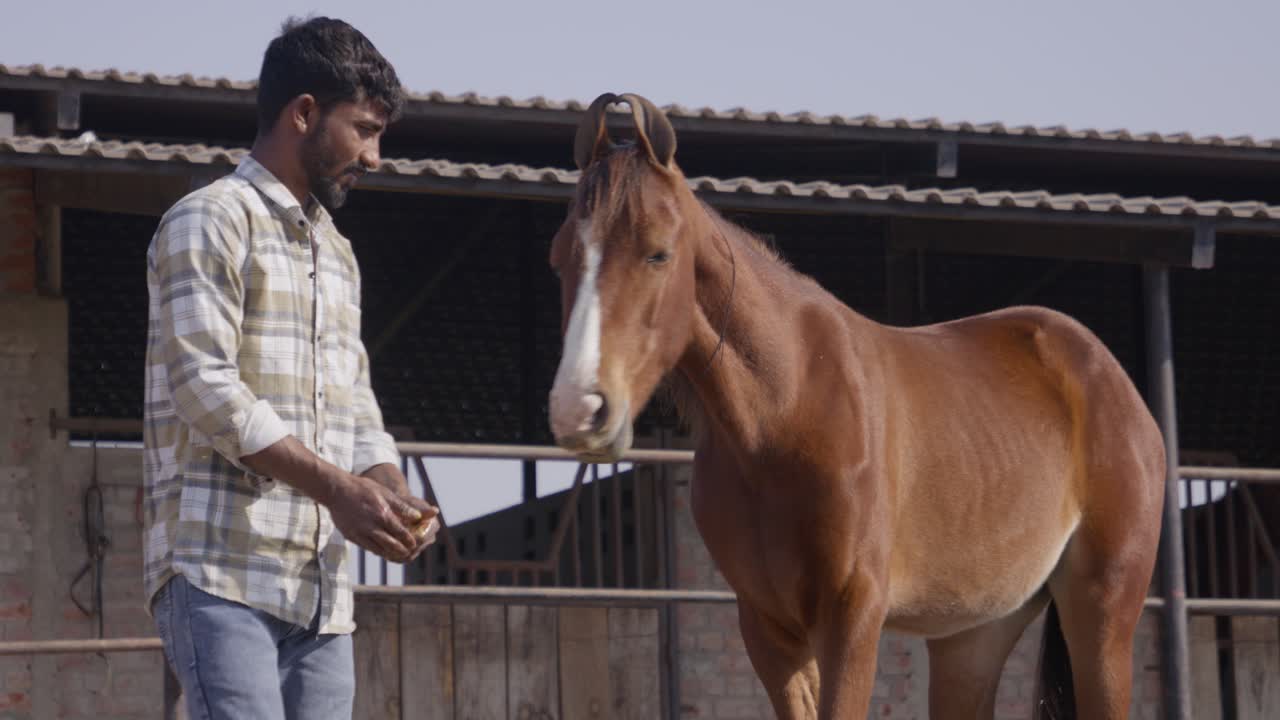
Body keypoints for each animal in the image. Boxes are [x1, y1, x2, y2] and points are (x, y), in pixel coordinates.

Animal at [546, 93, 1166, 720]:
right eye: (559, 258)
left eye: (658, 253)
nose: (580, 409)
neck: (784, 412)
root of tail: (1113, 384)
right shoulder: (768, 629)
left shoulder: (851, 615)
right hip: (975, 635)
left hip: (1102, 612)